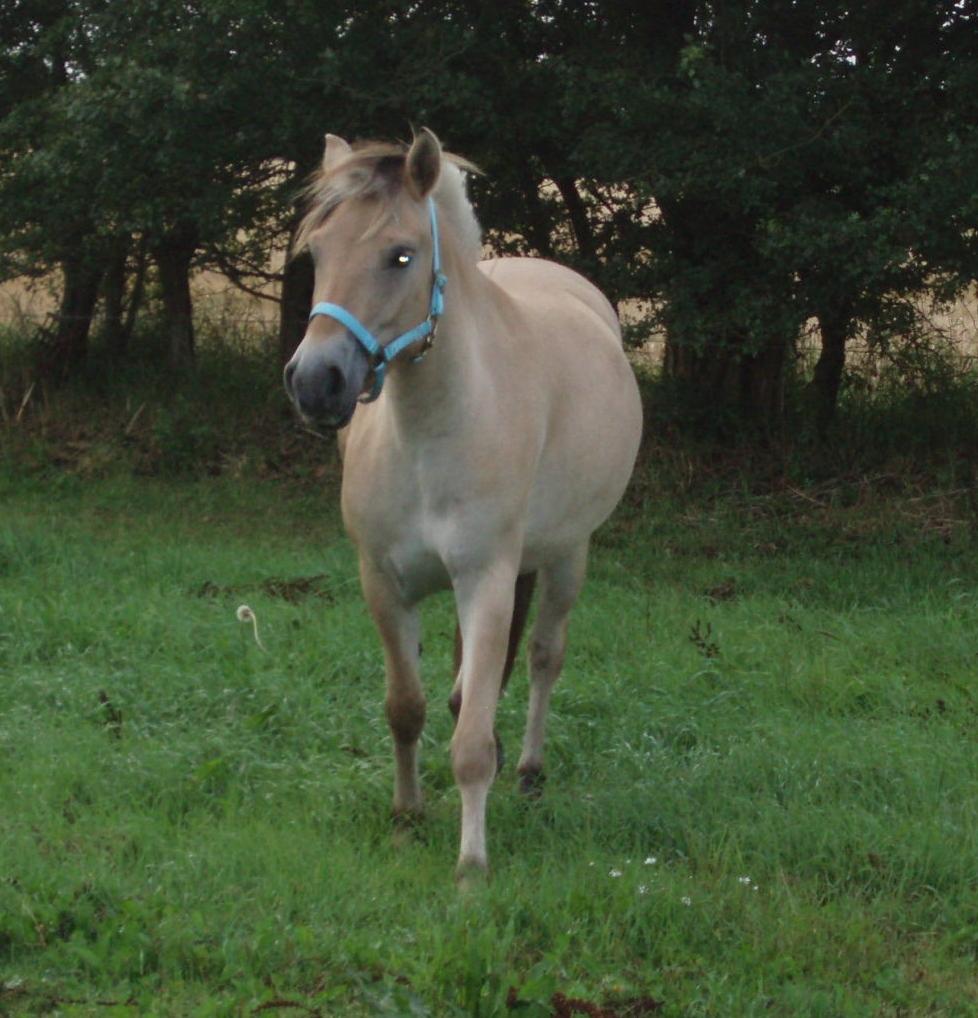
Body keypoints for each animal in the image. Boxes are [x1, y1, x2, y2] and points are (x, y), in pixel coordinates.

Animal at [284, 125, 643, 875]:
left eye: (400, 255)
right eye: (318, 250)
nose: (315, 382)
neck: (432, 429)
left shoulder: (487, 579)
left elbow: (474, 736)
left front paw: (471, 864)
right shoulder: (384, 582)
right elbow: (408, 707)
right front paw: (406, 815)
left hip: (567, 555)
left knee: (543, 657)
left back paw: (530, 771)